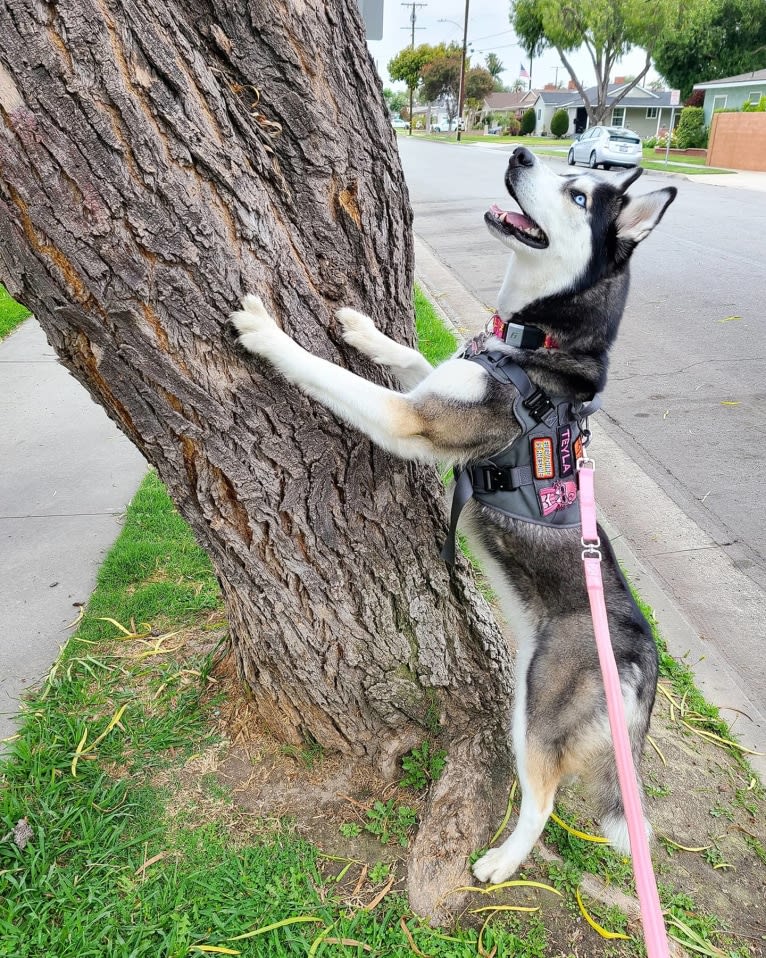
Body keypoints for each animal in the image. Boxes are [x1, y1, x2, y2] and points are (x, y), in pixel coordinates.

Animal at [230, 144, 680, 884]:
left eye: (579, 194)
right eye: (568, 176)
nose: (520, 152)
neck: (536, 340)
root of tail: (645, 655)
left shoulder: (411, 421)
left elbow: (331, 377)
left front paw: (269, 333)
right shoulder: (435, 388)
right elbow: (410, 354)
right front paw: (363, 328)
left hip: (536, 712)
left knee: (543, 799)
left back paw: (499, 863)